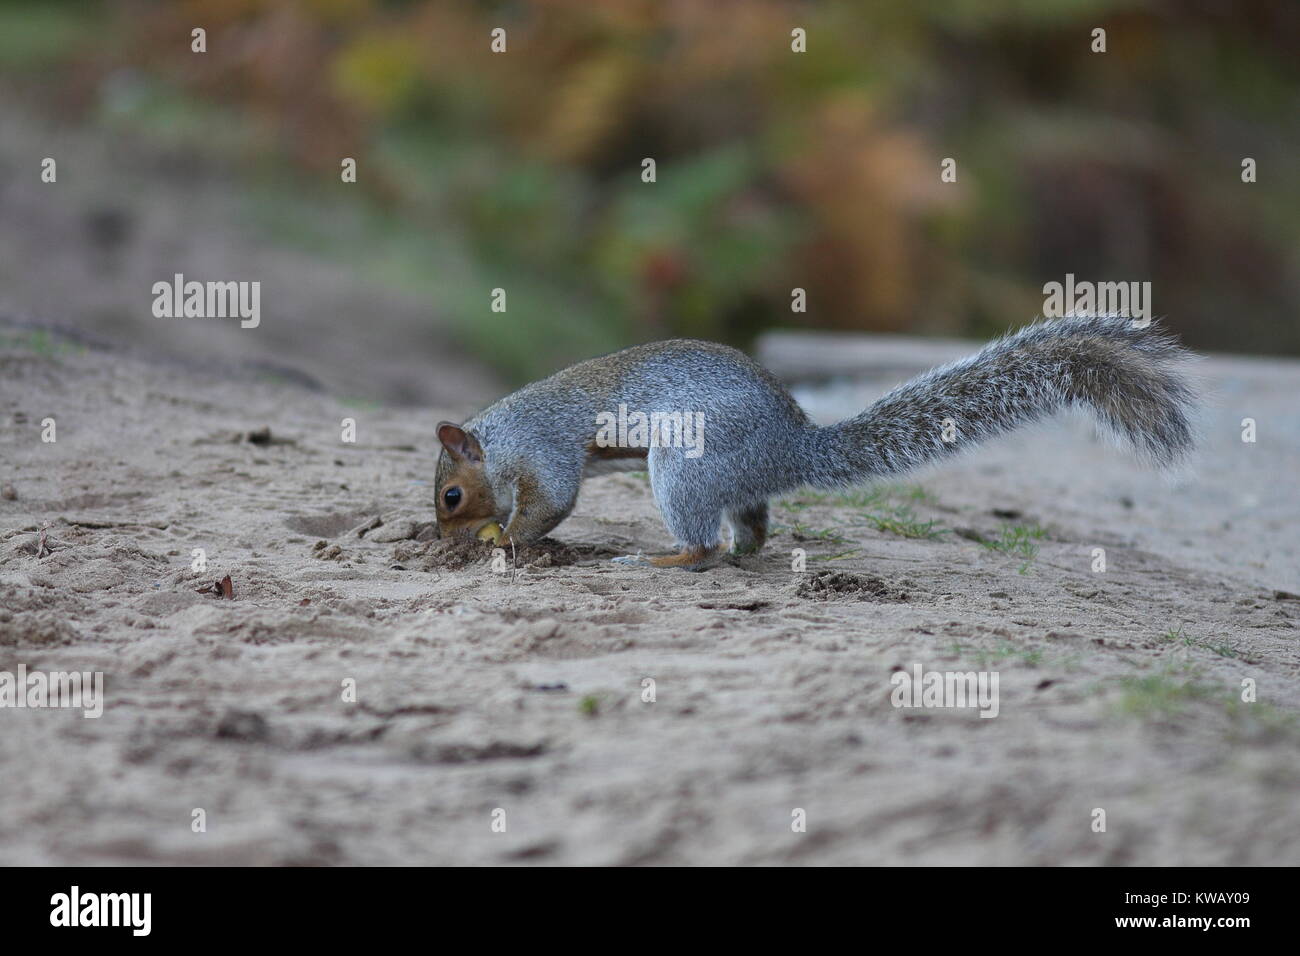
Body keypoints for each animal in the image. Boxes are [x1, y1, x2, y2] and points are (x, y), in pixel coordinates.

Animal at [436, 314, 1196, 567]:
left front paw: (502, 540)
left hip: (683, 465)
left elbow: (550, 503)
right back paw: (744, 551)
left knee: (702, 545)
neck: (498, 438)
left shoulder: (541, 451)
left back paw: (664, 559)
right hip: (726, 479)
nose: (444, 536)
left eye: (451, 496)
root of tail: (790, 444)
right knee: (750, 525)